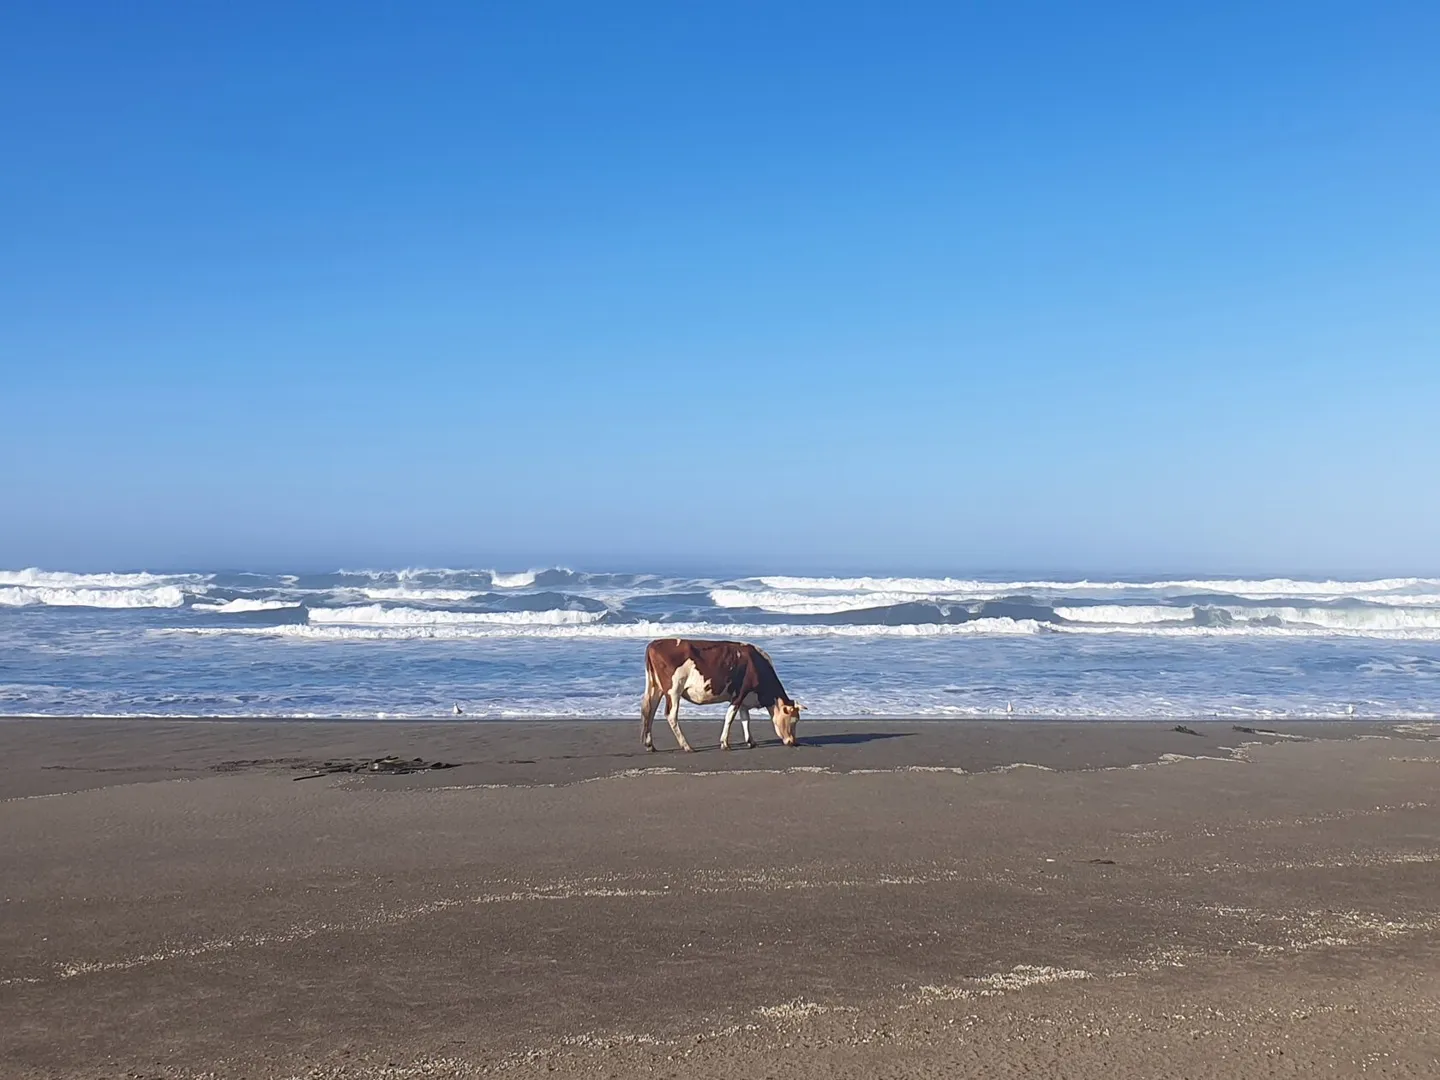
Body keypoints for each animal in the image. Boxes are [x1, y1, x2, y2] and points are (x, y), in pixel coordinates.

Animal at [641, 638, 805, 752]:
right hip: (673, 690)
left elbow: (745, 719)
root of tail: (655, 643)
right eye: (793, 720)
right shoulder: (739, 694)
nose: (793, 742)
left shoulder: (744, 699)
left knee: (649, 711)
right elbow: (730, 718)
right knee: (671, 715)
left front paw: (750, 741)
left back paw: (649, 745)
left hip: (655, 688)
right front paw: (725, 743)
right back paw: (687, 746)